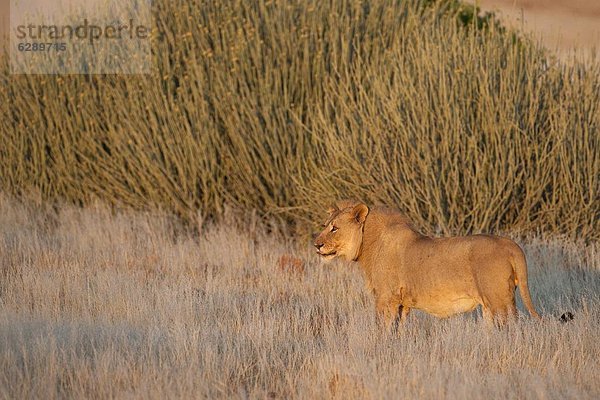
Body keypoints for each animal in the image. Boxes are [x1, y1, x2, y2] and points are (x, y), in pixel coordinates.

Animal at [316, 202, 540, 326]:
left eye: (334, 228)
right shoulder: (402, 304)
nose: (316, 245)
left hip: (499, 301)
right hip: (490, 306)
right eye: (325, 225)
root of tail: (511, 245)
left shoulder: (385, 298)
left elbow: (382, 330)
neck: (368, 242)